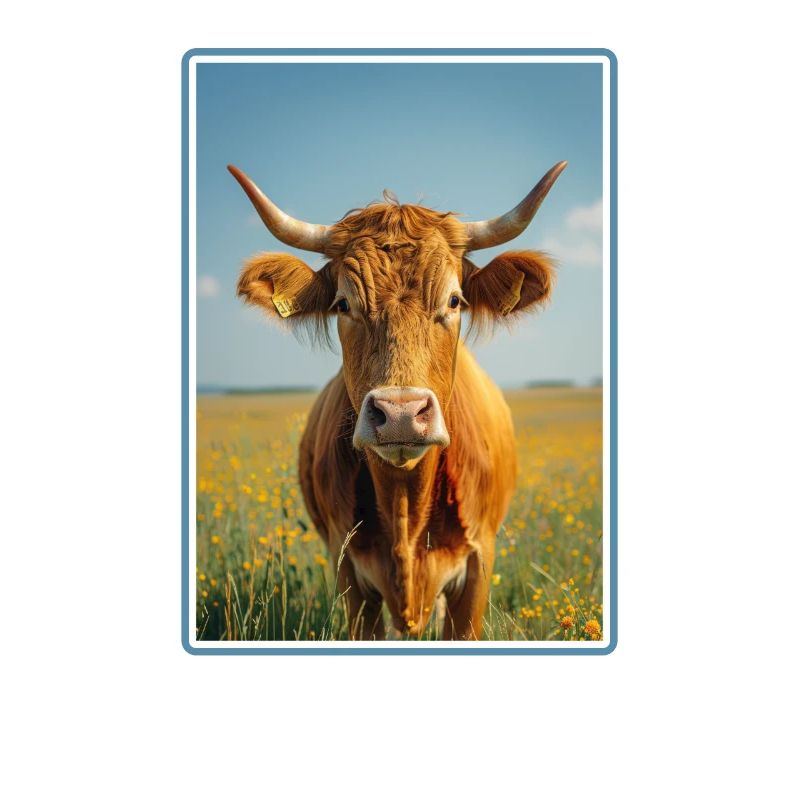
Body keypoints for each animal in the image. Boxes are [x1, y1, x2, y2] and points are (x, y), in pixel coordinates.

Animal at [229, 161, 566, 640]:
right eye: (343, 304)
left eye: (454, 300)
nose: (401, 414)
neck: (406, 506)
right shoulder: (350, 574)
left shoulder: (479, 564)